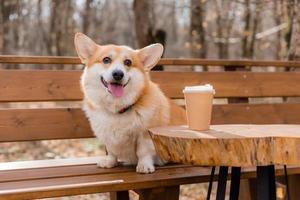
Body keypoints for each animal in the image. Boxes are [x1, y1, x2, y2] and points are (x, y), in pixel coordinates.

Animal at [74, 32, 170, 173]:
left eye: (128, 62)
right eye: (106, 60)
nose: (118, 74)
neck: (117, 108)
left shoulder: (145, 134)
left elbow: (143, 151)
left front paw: (144, 166)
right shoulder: (108, 137)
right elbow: (111, 151)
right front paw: (109, 162)